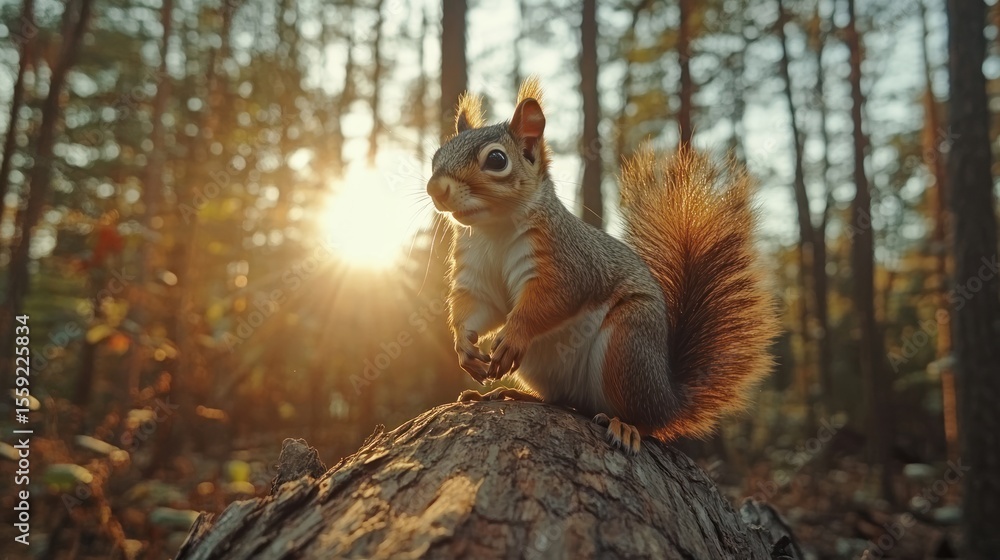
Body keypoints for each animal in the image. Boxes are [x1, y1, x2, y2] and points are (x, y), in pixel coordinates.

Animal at [425, 78, 779, 453]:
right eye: (436, 156)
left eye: (496, 159)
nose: (435, 188)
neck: (494, 229)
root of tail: (668, 399)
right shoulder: (475, 272)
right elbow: (478, 307)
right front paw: (464, 347)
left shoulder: (570, 263)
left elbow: (552, 300)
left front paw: (515, 334)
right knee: (561, 401)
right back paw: (512, 394)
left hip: (628, 344)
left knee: (645, 420)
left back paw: (626, 425)